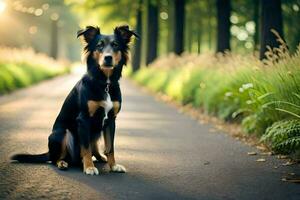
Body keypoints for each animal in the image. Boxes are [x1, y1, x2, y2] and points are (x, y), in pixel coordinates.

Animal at [11, 25, 138, 175]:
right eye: (99, 45)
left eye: (115, 45)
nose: (108, 58)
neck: (104, 83)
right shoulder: (83, 119)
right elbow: (86, 147)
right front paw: (89, 167)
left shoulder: (111, 120)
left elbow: (110, 147)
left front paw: (113, 166)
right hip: (60, 134)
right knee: (56, 159)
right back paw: (63, 163)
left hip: (96, 133)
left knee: (94, 148)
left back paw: (100, 158)